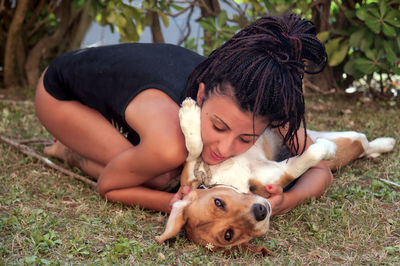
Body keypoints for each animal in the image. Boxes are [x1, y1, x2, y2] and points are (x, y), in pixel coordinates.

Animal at [155, 98, 394, 252]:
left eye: (218, 202)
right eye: (228, 235)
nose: (260, 211)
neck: (229, 179)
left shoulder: (193, 169)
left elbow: (194, 149)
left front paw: (189, 115)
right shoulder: (278, 175)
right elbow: (300, 164)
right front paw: (324, 151)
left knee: (359, 141)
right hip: (347, 143)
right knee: (362, 144)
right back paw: (383, 144)